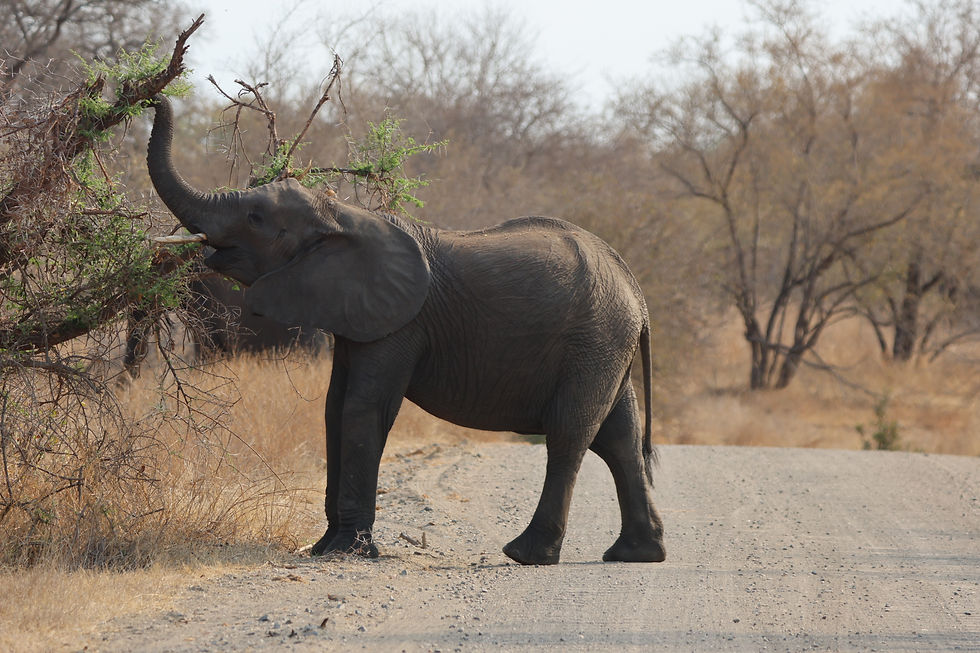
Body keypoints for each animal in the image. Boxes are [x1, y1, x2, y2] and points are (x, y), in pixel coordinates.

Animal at [145, 95, 666, 565]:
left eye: (256, 219)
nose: (154, 99)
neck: (342, 215)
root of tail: (636, 293)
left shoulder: (402, 323)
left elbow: (363, 408)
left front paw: (348, 552)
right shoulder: (358, 316)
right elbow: (334, 408)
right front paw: (325, 549)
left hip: (593, 340)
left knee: (570, 435)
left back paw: (526, 554)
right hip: (605, 344)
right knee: (620, 435)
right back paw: (636, 554)